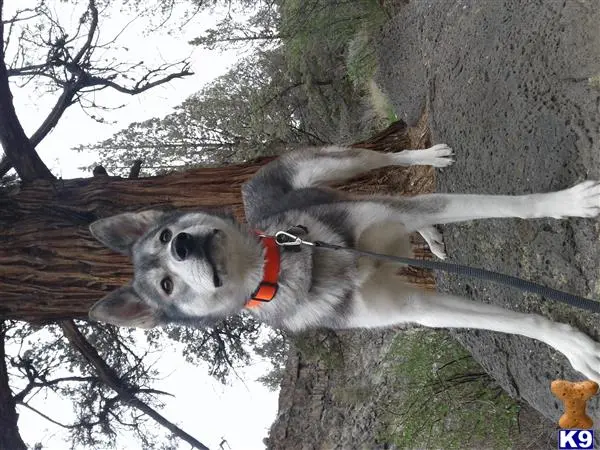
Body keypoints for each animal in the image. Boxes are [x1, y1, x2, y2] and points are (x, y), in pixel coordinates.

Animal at [89, 145, 600, 384]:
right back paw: (432, 240)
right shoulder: (414, 307)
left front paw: (565, 202)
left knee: (386, 160)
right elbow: (517, 322)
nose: (181, 246)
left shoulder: (402, 213)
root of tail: (250, 182)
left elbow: (515, 205)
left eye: (165, 236)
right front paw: (573, 347)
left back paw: (426, 156)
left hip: (339, 164)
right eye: (166, 285)